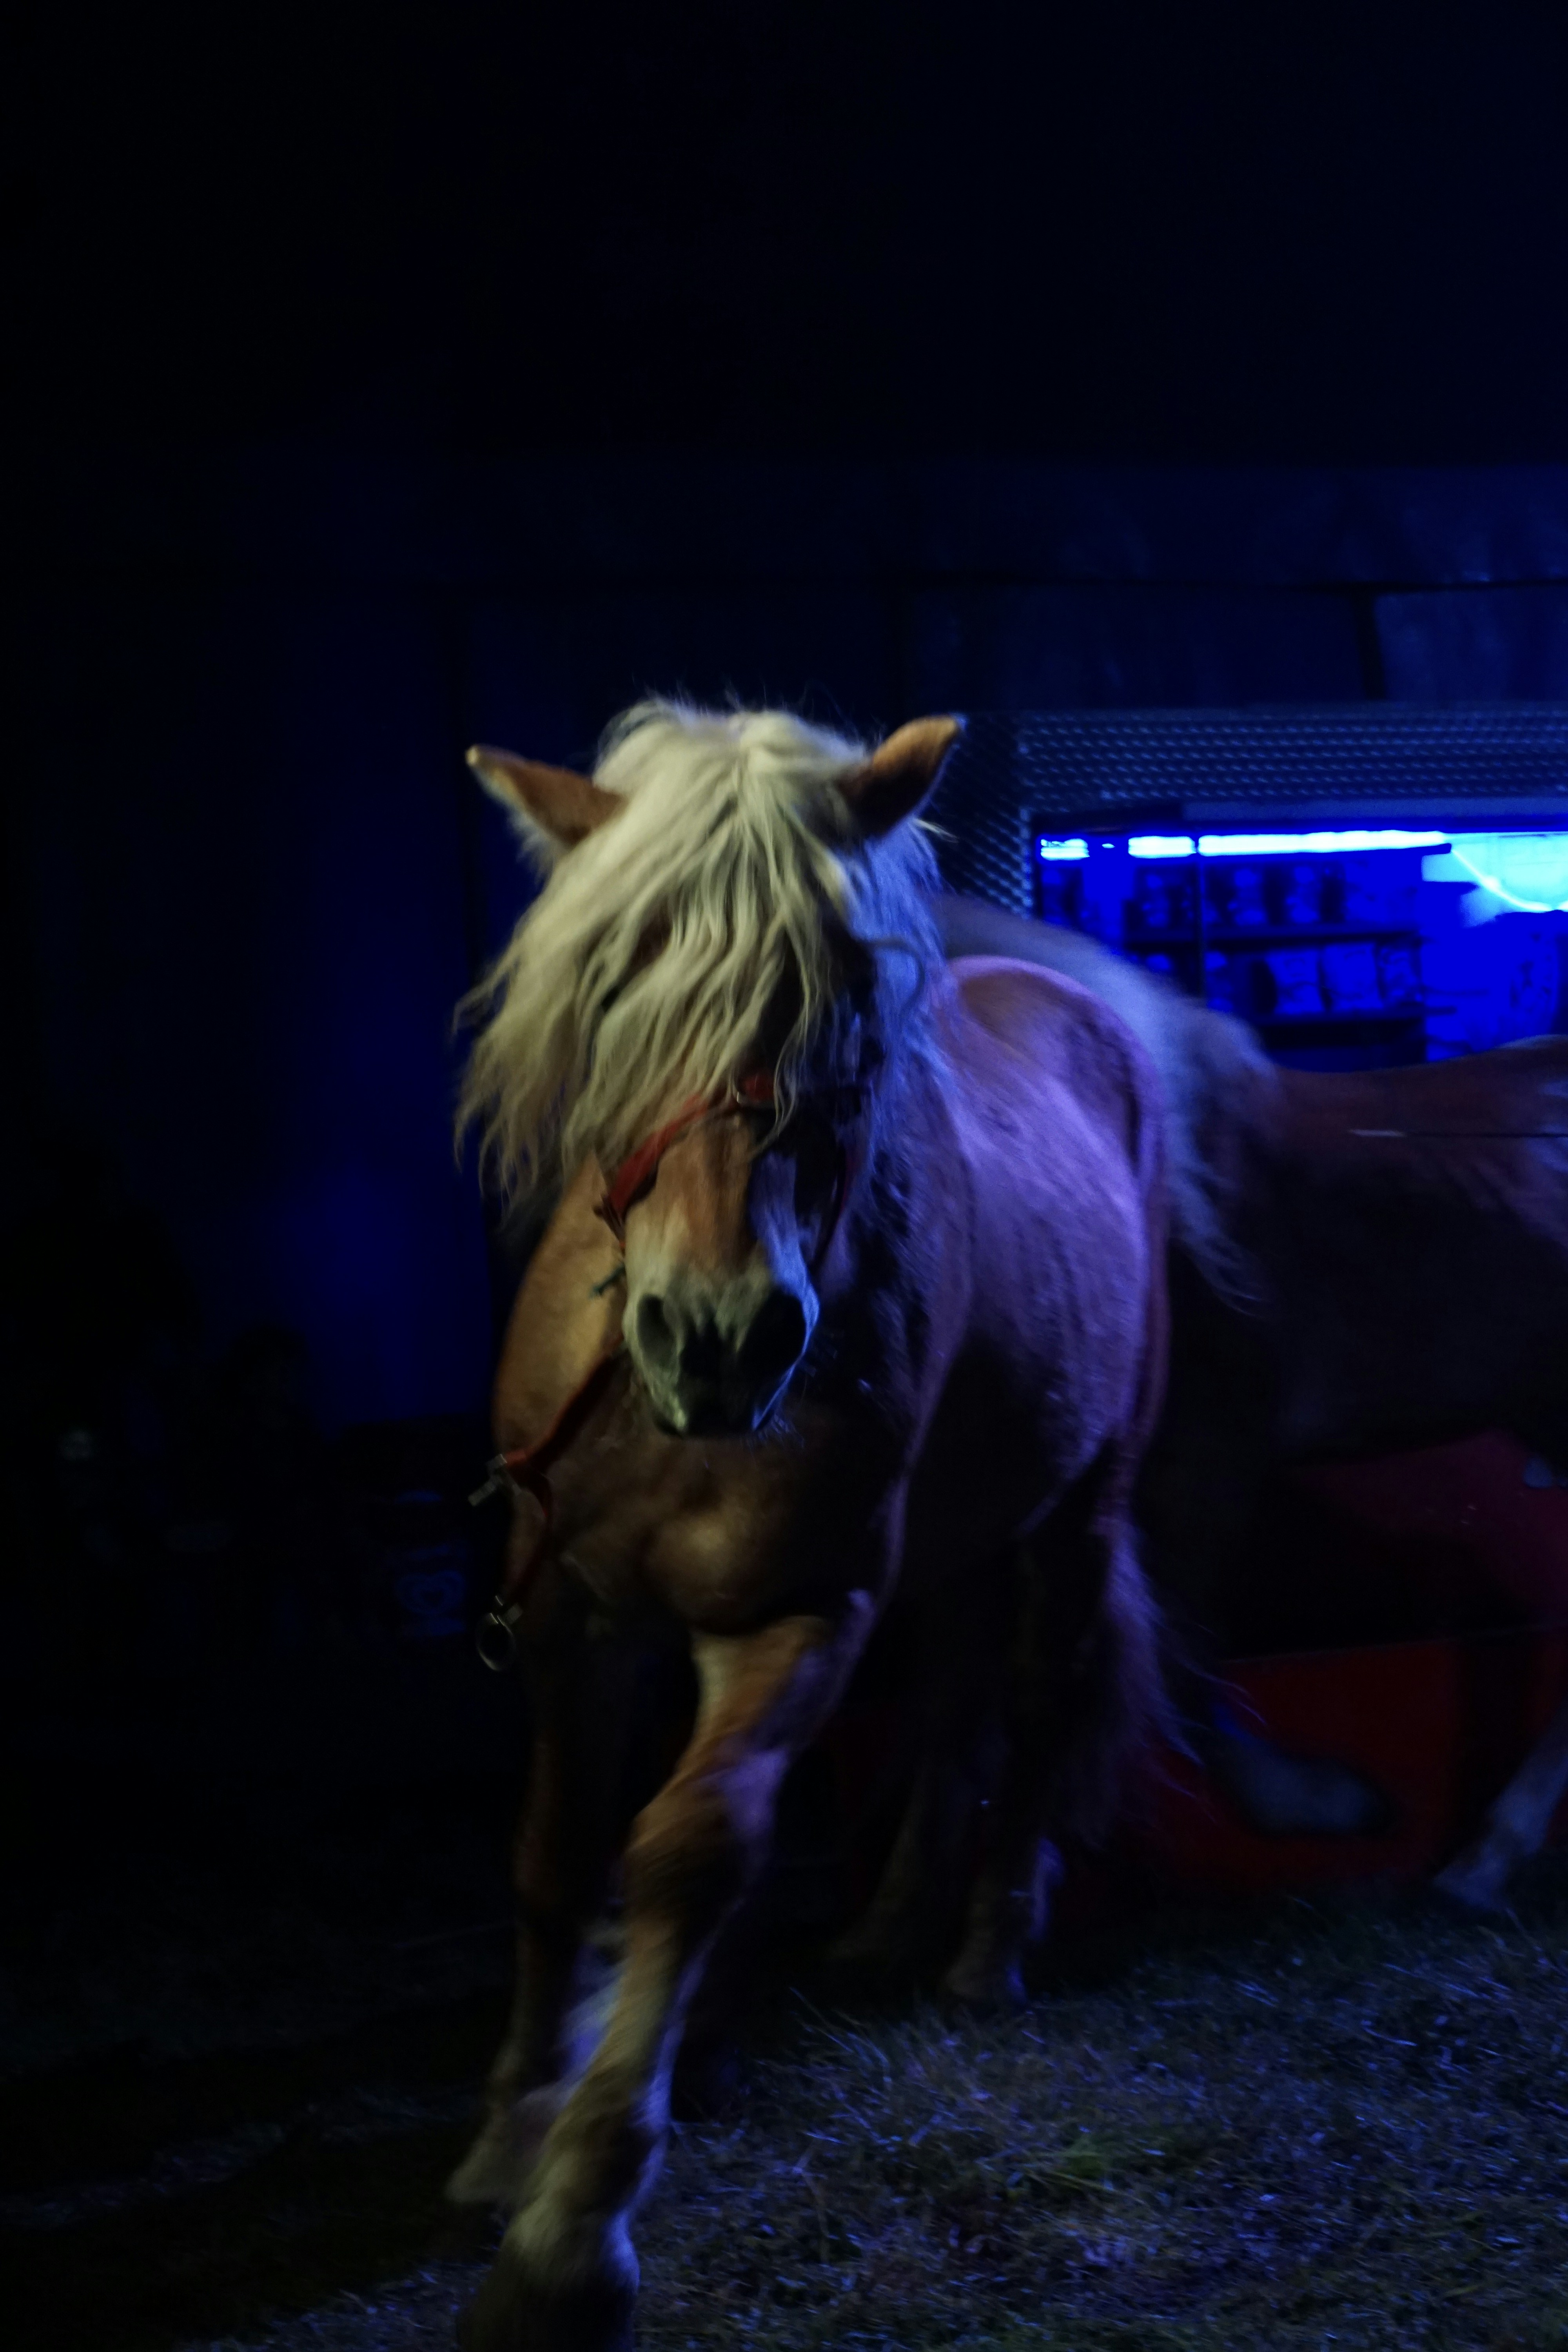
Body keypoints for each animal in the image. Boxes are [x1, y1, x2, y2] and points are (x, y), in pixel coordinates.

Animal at [445, 704, 1169, 2352]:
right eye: (617, 991)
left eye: (836, 1002)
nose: (721, 1336)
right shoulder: (571, 1613)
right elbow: (552, 1848)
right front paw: (512, 2129)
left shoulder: (795, 1614)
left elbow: (687, 1852)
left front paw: (574, 2227)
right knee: (954, 1693)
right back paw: (882, 1930)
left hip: (1079, 1510)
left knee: (1033, 1703)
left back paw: (980, 1952)